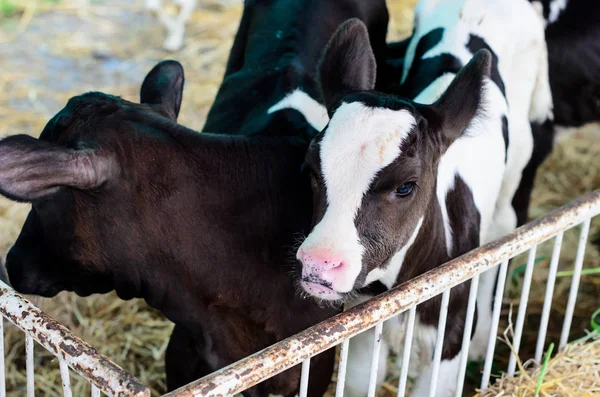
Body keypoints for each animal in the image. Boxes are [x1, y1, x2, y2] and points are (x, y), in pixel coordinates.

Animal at [296, 1, 552, 394]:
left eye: (406, 185)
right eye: (311, 170)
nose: (319, 263)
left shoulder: (451, 334)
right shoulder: (363, 330)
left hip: (518, 159)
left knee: (505, 228)